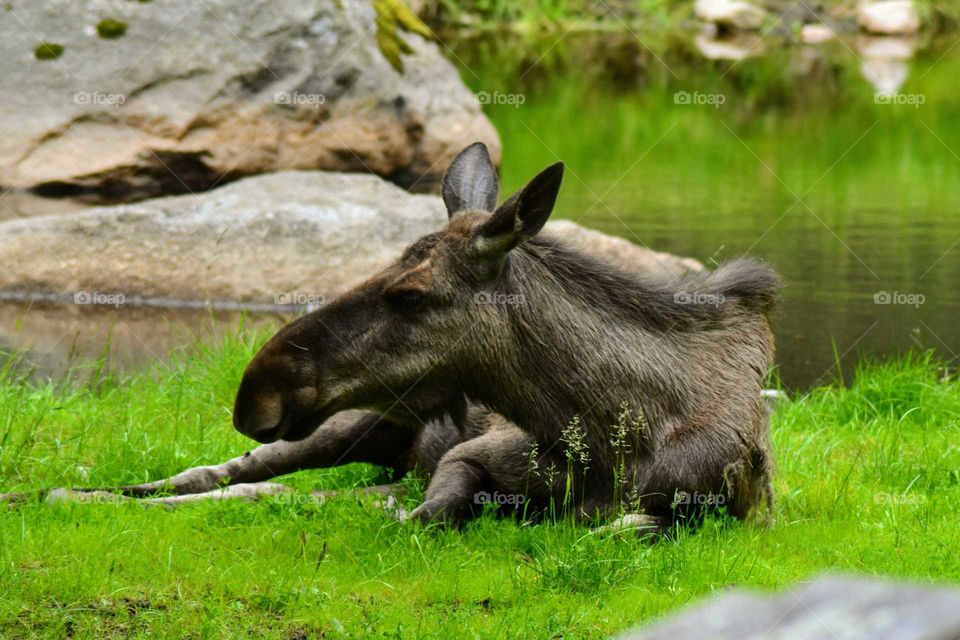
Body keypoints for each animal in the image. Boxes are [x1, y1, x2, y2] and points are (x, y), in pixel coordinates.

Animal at [6, 143, 780, 533]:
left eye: (408, 293)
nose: (257, 389)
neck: (613, 433)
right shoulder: (466, 456)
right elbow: (423, 510)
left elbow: (626, 524)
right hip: (350, 424)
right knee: (220, 474)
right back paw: (62, 493)